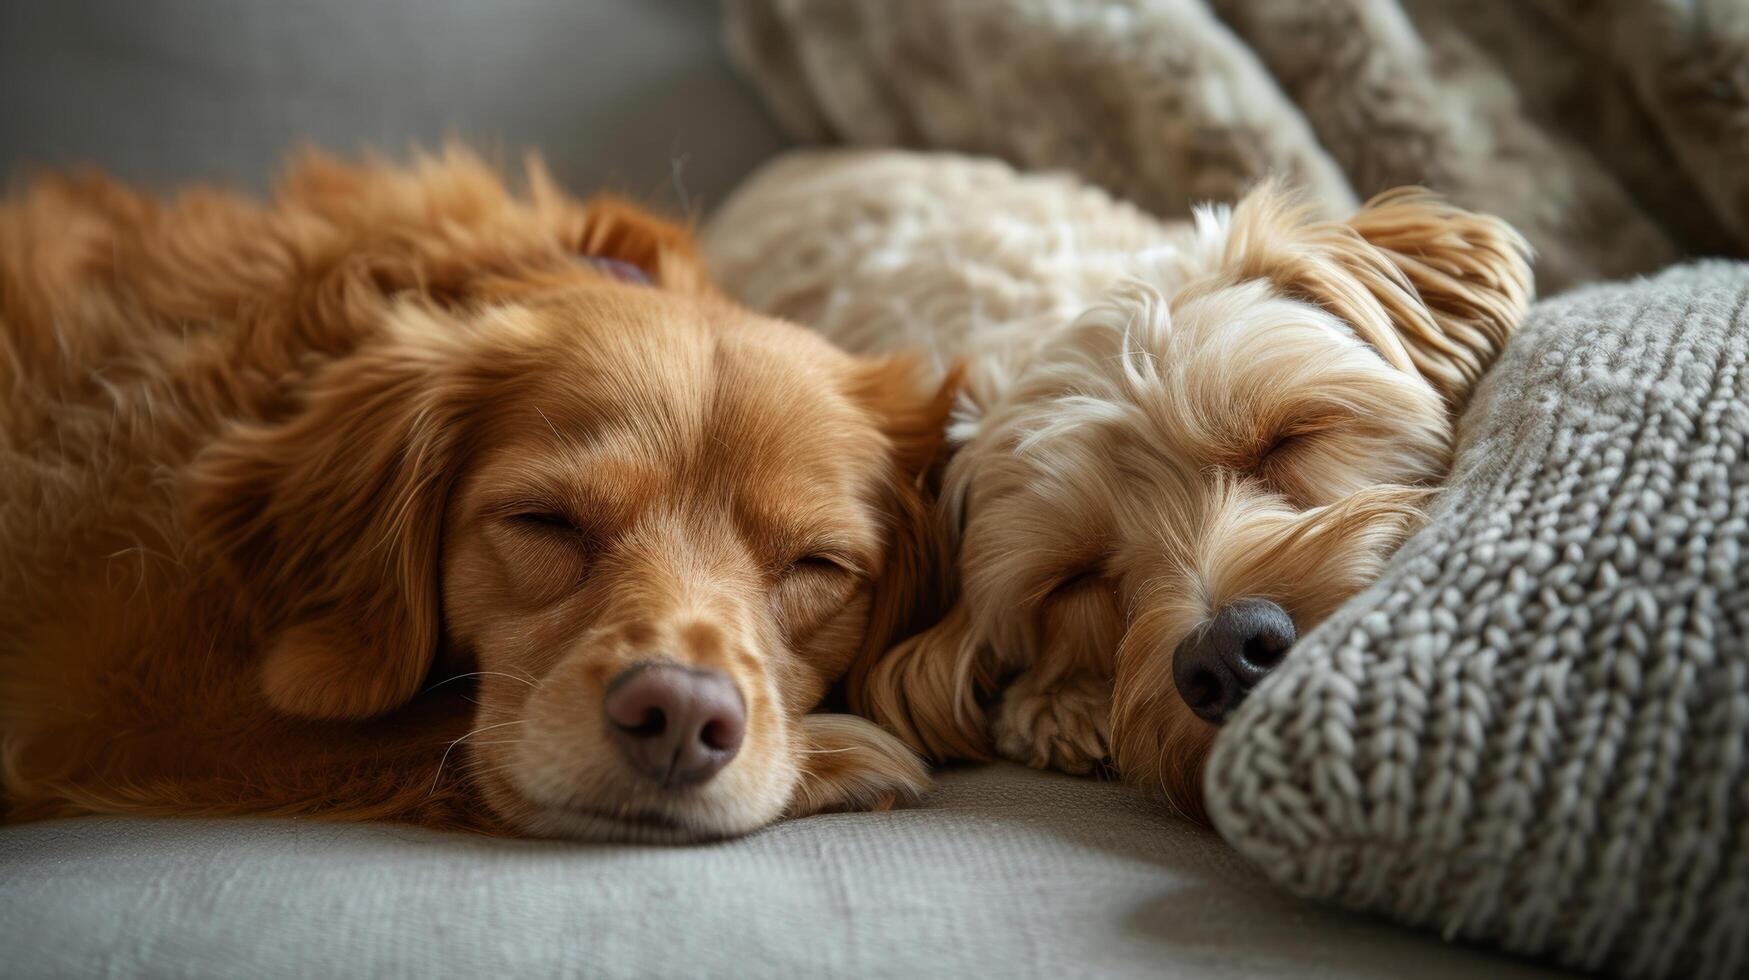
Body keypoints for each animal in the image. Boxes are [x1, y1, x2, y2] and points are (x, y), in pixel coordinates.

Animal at [3, 149, 958, 840]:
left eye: (817, 564)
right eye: (544, 521)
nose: (681, 716)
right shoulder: (126, 714)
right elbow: (435, 730)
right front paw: (842, 752)